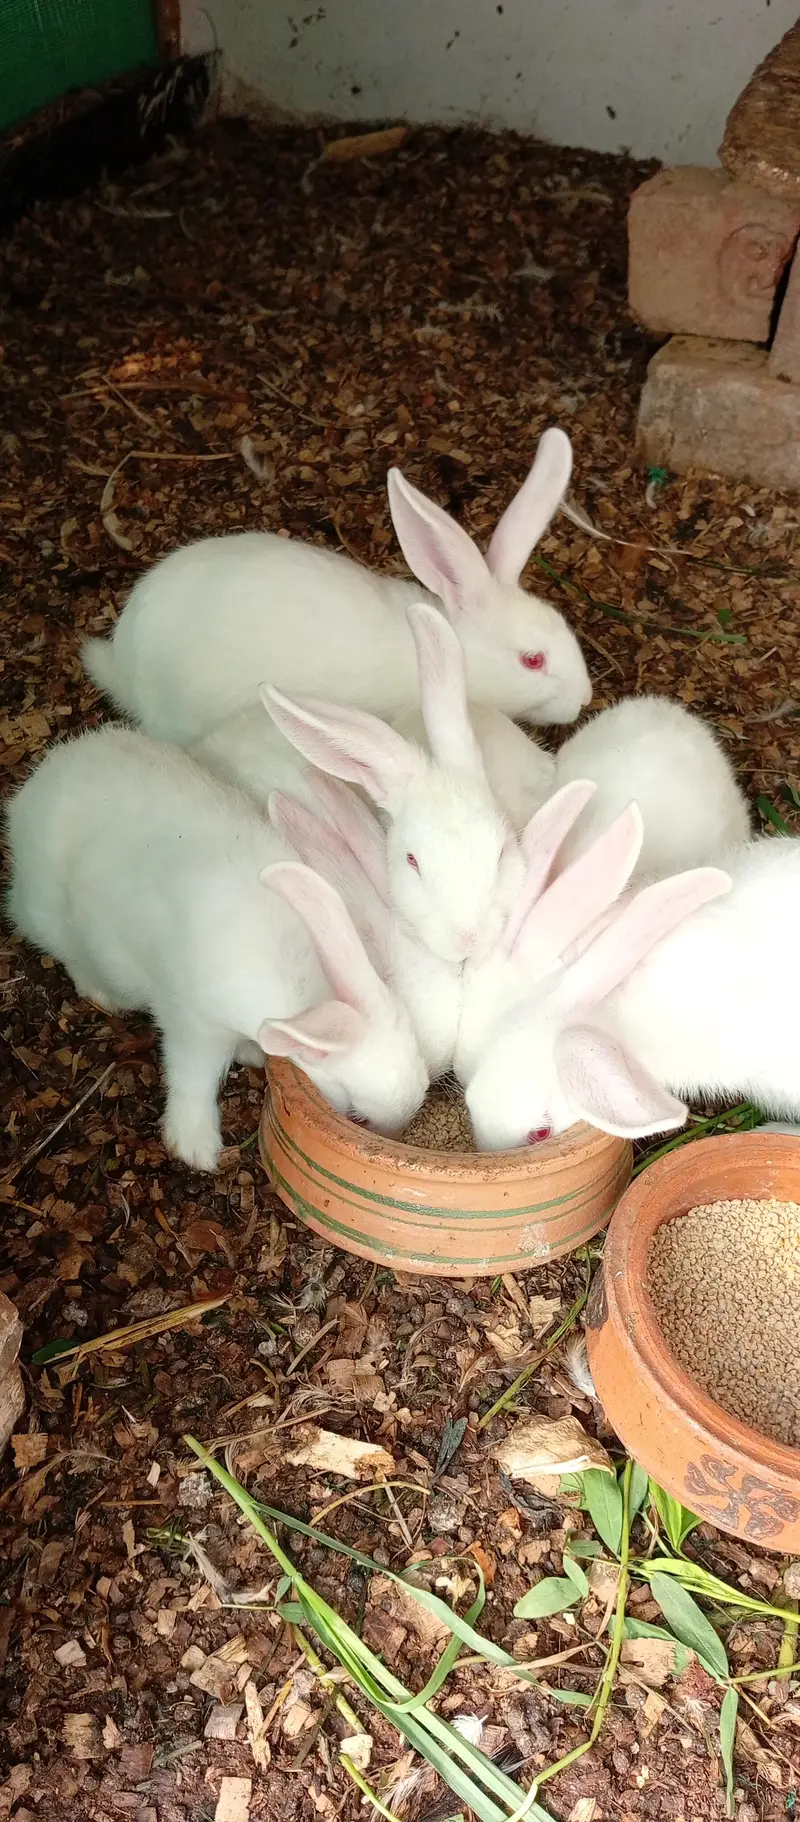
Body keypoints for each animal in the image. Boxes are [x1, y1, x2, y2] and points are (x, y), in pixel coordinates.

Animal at [6, 727, 428, 1170]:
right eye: (356, 1116)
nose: (393, 1135)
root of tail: (36, 786)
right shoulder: (194, 1025)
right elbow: (194, 1078)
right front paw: (197, 1149)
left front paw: (253, 1054)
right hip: (49, 916)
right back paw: (102, 994)